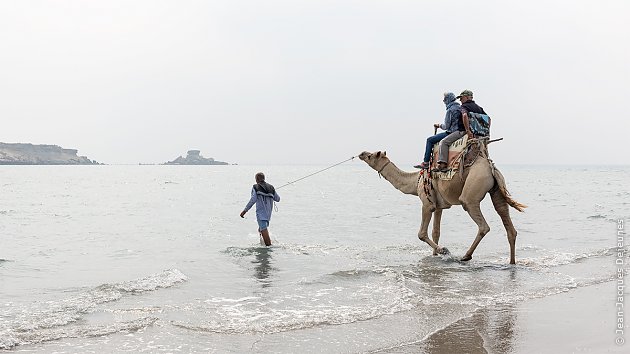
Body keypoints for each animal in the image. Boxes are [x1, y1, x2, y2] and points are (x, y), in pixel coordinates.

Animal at [360, 142, 528, 264]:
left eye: (372, 155)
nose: (361, 153)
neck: (415, 181)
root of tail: (491, 168)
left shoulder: (427, 203)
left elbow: (421, 233)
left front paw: (444, 250)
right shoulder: (439, 206)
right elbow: (436, 232)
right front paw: (435, 254)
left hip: (472, 192)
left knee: (482, 224)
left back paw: (466, 256)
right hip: (497, 191)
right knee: (506, 219)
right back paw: (512, 262)